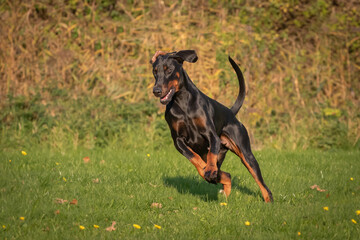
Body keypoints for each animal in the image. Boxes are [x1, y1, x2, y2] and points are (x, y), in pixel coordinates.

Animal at [150, 50, 272, 202]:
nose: (156, 90)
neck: (182, 102)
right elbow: (192, 156)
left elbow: (211, 154)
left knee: (261, 182)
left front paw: (209, 169)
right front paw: (205, 169)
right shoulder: (178, 140)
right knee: (226, 175)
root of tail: (231, 112)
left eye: (169, 70)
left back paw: (268, 201)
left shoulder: (211, 135)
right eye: (155, 71)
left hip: (246, 153)